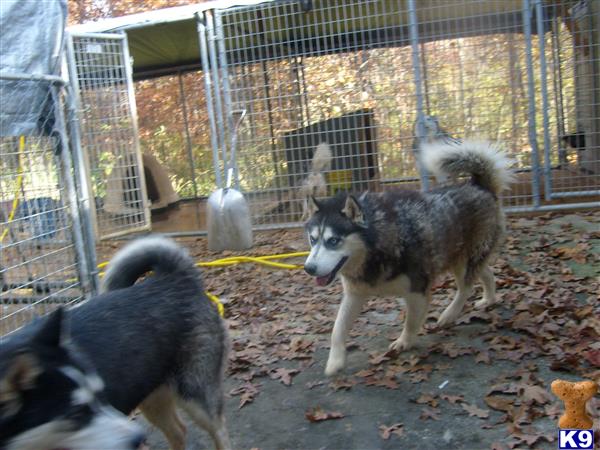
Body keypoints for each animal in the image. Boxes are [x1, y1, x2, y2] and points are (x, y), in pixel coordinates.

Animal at [0, 236, 230, 450]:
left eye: (100, 394)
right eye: (76, 414)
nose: (138, 439)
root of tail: (173, 277)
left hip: (195, 395)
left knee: (219, 432)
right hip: (151, 396)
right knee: (178, 431)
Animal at [308, 139, 512, 374]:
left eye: (333, 240)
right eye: (312, 239)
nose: (308, 268)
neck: (376, 246)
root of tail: (478, 185)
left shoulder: (417, 290)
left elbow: (411, 322)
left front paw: (404, 342)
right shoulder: (354, 294)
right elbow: (337, 329)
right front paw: (335, 361)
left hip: (463, 261)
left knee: (465, 288)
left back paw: (449, 314)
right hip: (460, 257)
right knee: (486, 273)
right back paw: (489, 299)